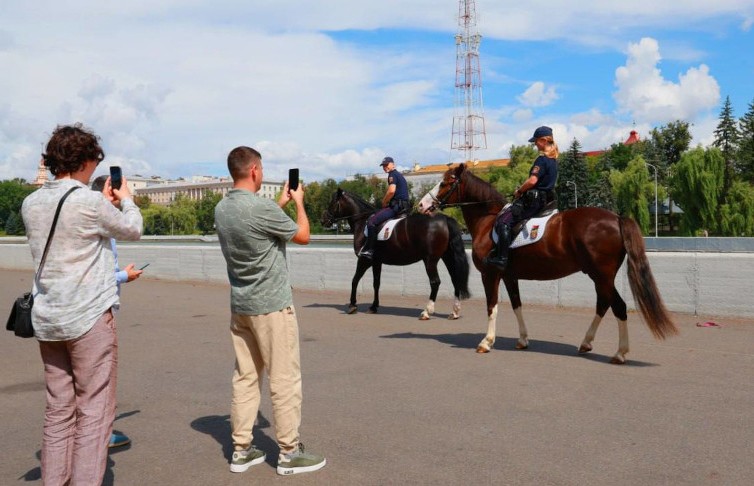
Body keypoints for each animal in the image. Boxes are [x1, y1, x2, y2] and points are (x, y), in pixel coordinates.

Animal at [318, 187, 470, 318]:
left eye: (332, 202)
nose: (323, 220)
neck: (363, 222)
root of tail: (444, 218)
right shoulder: (376, 262)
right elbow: (376, 283)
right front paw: (373, 306)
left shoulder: (364, 260)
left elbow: (354, 280)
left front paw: (352, 305)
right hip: (447, 256)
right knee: (455, 279)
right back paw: (455, 311)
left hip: (430, 260)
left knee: (435, 282)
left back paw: (427, 311)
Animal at [418, 164, 676, 364]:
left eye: (445, 182)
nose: (421, 205)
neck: (488, 221)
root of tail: (617, 218)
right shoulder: (509, 276)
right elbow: (516, 305)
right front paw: (522, 340)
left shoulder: (490, 275)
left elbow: (492, 307)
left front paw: (486, 342)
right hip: (599, 276)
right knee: (604, 304)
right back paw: (587, 343)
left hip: (602, 275)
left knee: (618, 307)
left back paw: (620, 353)